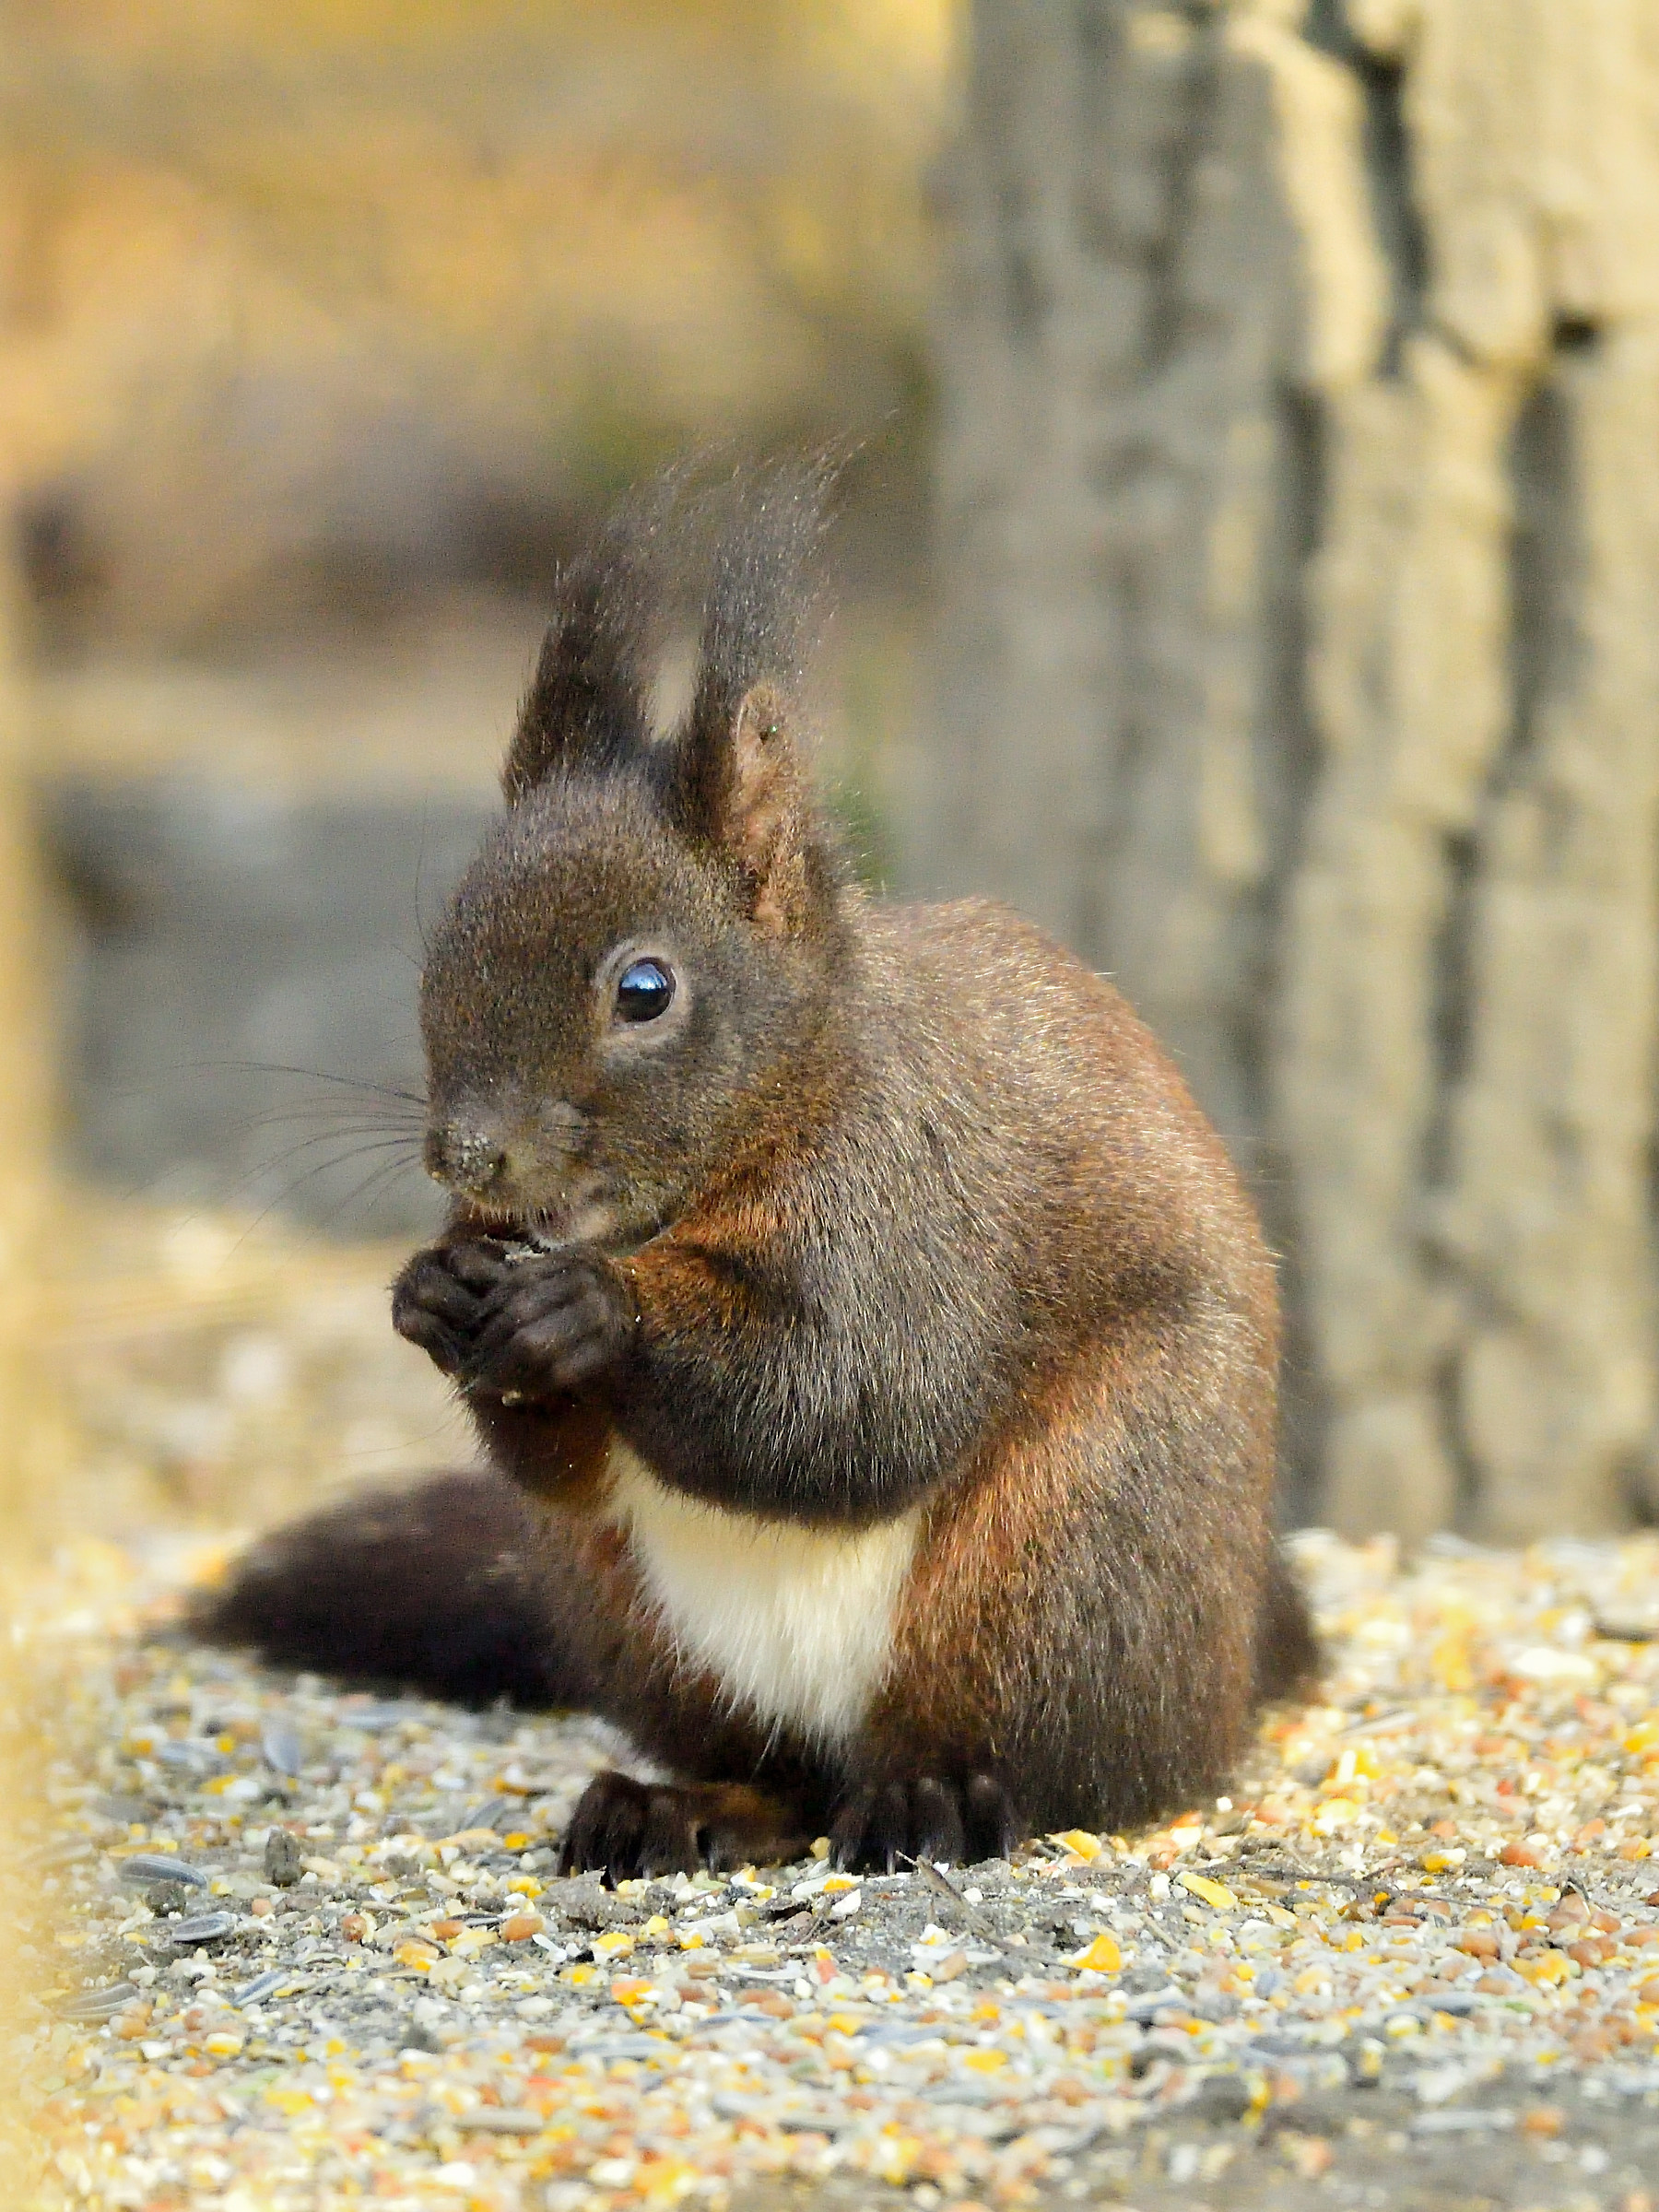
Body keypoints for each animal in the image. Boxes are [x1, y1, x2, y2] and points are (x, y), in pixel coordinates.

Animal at [200, 472, 1318, 1877]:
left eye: (644, 989)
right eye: (443, 949)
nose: (468, 1157)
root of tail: (1229, 1674)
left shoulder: (915, 1197)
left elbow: (859, 1398)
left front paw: (591, 1313)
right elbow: (558, 1462)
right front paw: (432, 1292)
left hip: (1078, 1556)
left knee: (1057, 1766)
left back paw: (935, 1800)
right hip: (633, 1617)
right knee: (778, 1777)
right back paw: (676, 1808)